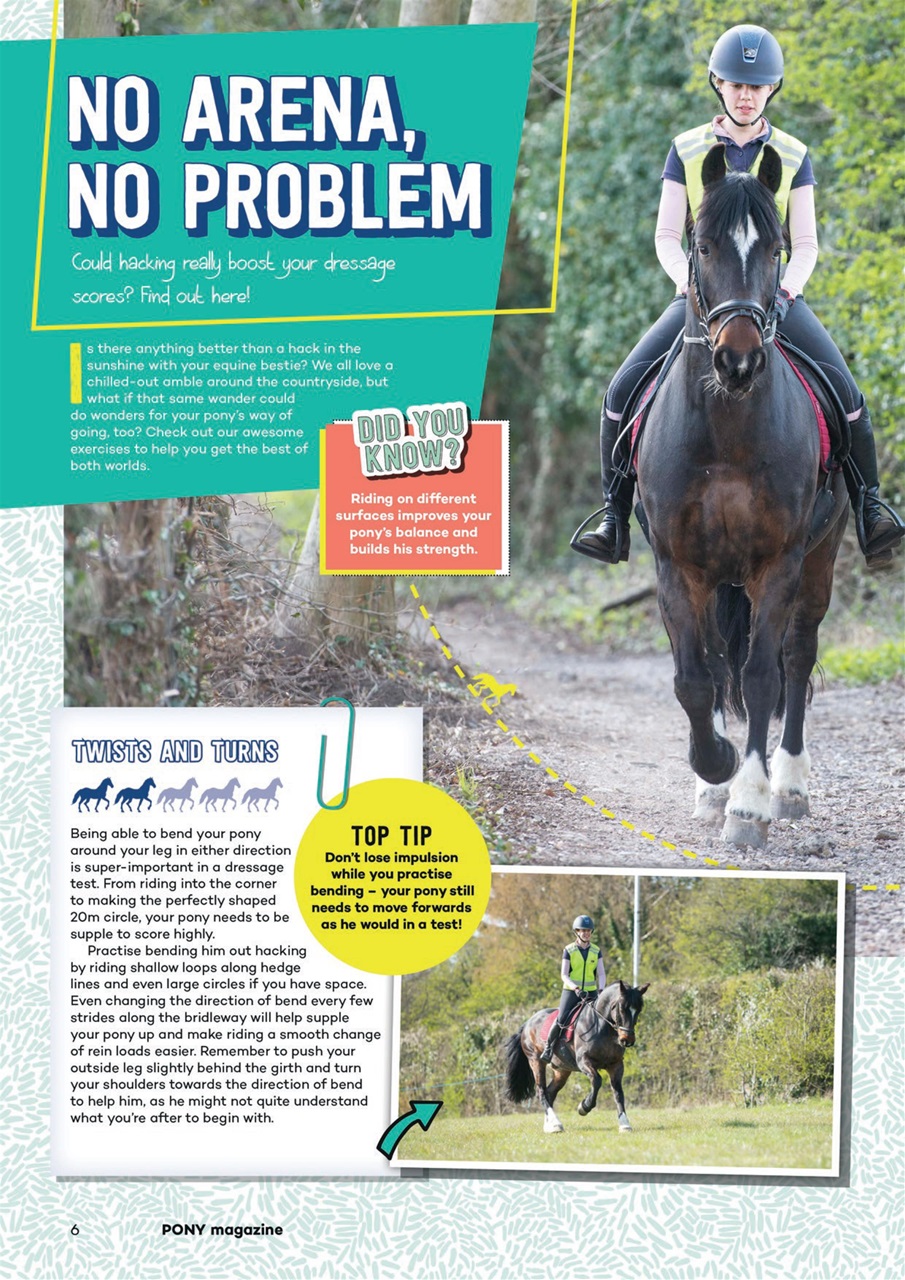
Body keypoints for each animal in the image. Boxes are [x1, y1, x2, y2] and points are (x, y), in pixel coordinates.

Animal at [505, 980, 649, 1134]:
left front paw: (624, 1124)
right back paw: (555, 1124)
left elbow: (618, 1092)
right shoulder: (584, 1061)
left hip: (562, 1070)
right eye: (621, 1008)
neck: (602, 1026)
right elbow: (597, 1081)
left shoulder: (616, 1065)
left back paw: (550, 1124)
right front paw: (584, 1107)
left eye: (638, 1010)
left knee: (550, 1092)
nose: (627, 1040)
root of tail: (527, 1023)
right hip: (536, 1061)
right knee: (541, 1091)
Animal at [635, 145, 848, 849]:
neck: (726, 430)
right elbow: (695, 678)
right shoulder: (679, 567)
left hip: (822, 555)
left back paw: (790, 786)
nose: (738, 362)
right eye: (701, 245)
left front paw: (749, 803)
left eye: (778, 246)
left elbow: (760, 677)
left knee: (797, 656)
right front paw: (714, 768)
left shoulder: (777, 564)